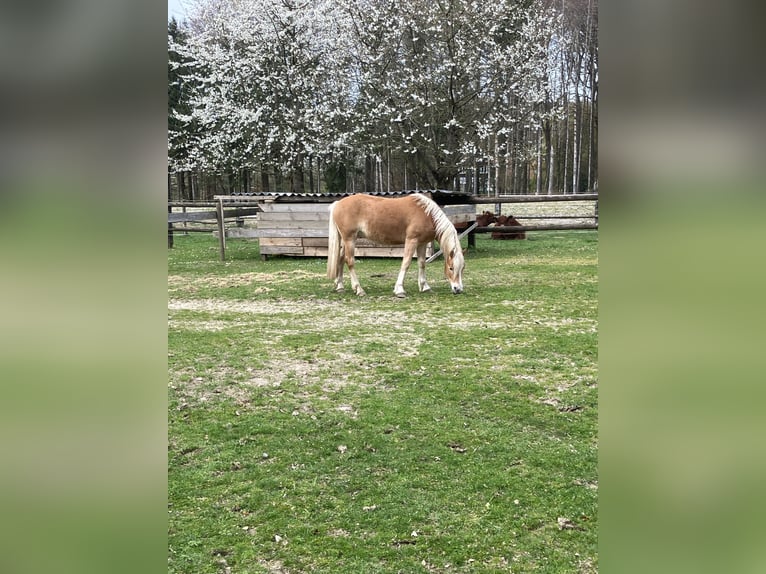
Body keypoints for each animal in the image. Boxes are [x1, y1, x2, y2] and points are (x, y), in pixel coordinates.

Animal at [327, 193, 465, 297]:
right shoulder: (411, 240)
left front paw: (424, 286)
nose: (458, 289)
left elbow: (422, 263)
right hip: (350, 239)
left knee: (340, 259)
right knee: (350, 261)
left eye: (462, 269)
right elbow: (406, 263)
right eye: (451, 268)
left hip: (345, 241)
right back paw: (359, 289)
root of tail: (338, 203)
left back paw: (340, 286)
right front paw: (399, 290)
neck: (426, 214)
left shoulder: (422, 243)